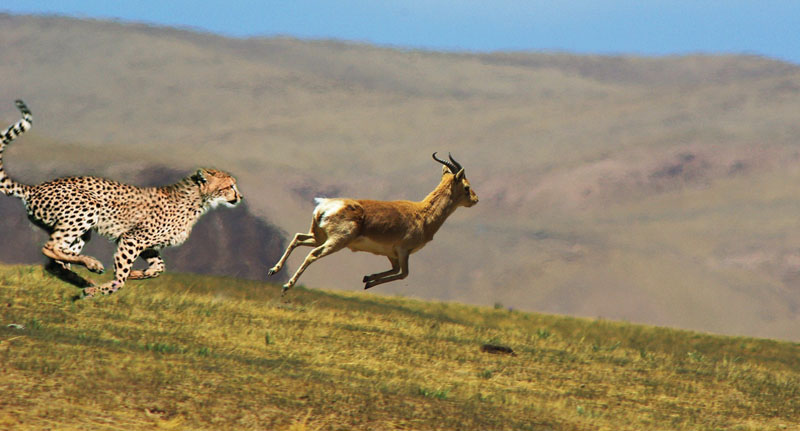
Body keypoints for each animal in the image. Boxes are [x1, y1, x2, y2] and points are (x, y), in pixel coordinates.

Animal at [0, 99, 244, 298]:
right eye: (230, 186)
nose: (240, 196)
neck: (197, 201)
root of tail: (34, 188)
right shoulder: (132, 238)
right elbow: (122, 277)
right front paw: (105, 288)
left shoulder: (148, 244)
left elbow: (159, 268)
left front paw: (137, 273)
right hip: (87, 208)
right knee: (50, 246)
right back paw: (91, 267)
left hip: (82, 231)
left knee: (57, 259)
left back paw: (83, 272)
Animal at [268, 154, 482, 296]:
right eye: (466, 187)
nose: (476, 199)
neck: (422, 214)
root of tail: (324, 206)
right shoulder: (403, 251)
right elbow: (404, 274)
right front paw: (368, 282)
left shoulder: (391, 254)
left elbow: (395, 271)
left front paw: (367, 279)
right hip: (336, 242)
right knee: (312, 254)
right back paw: (287, 286)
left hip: (318, 236)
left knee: (297, 238)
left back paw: (274, 270)